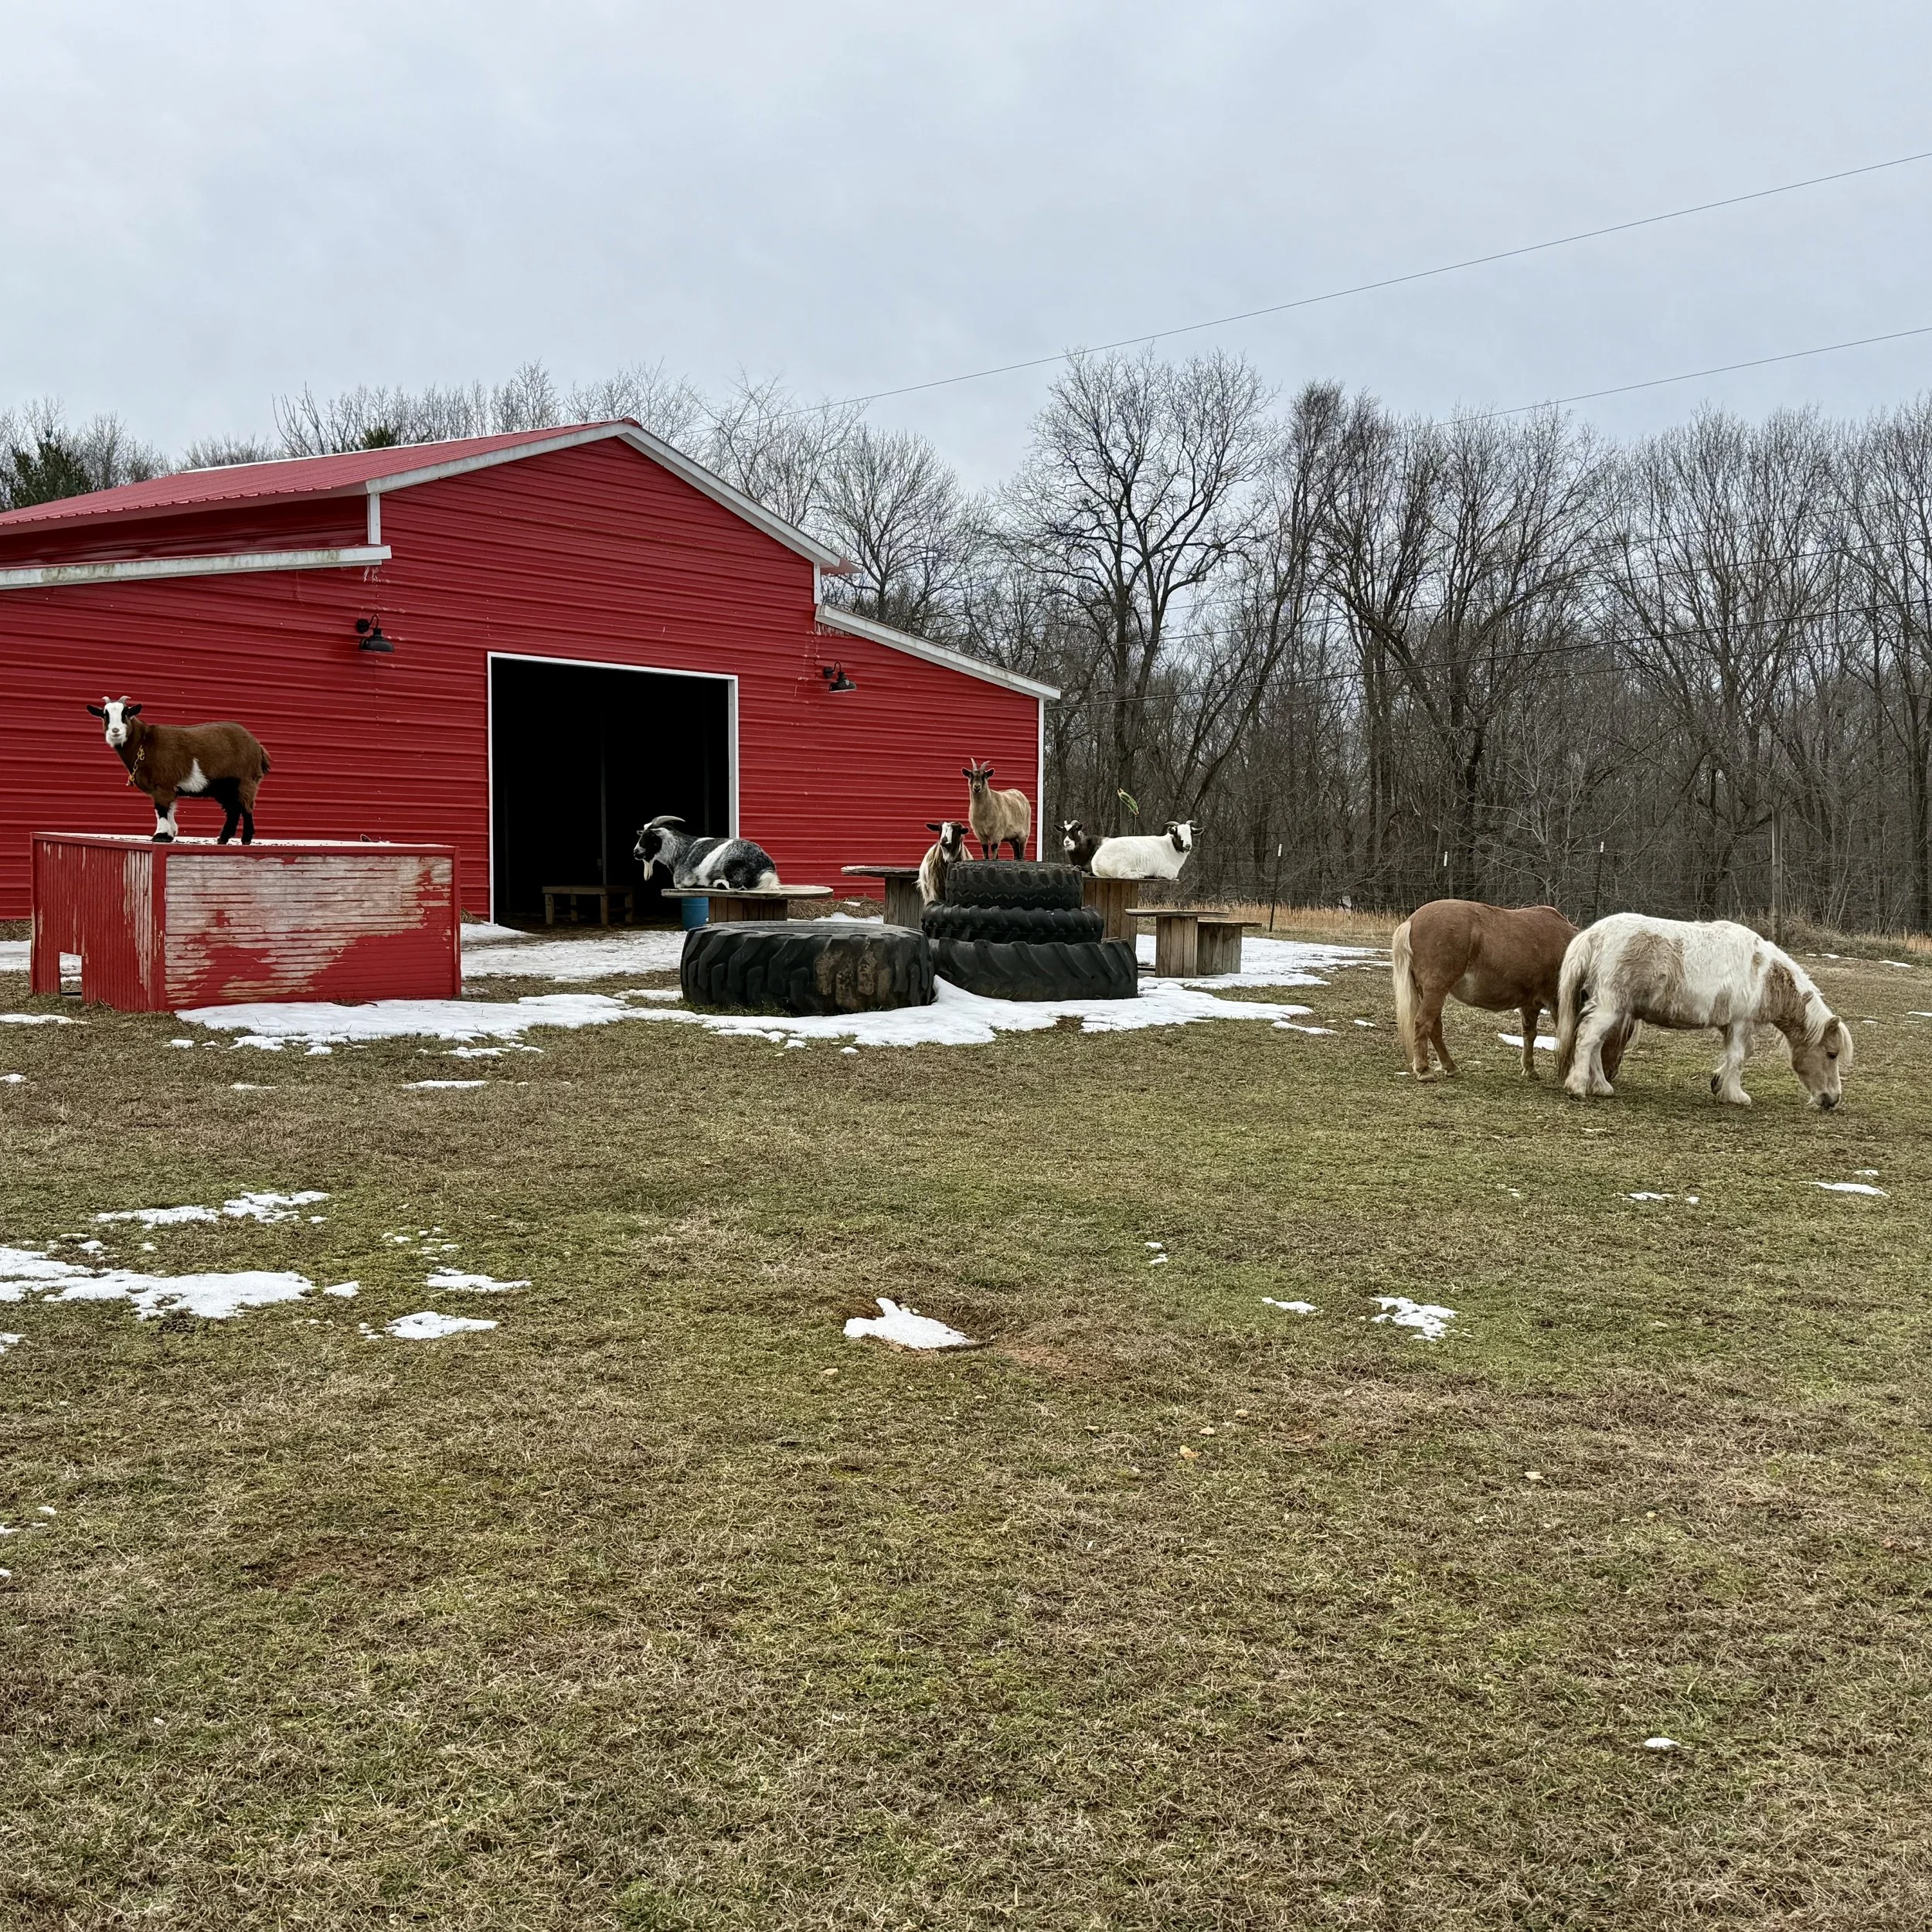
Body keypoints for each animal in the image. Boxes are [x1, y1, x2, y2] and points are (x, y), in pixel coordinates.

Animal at [88, 697, 269, 844]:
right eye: (105, 715)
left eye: (126, 713)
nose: (115, 731)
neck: (144, 742)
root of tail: (257, 747)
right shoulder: (166, 787)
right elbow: (167, 809)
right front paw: (170, 833)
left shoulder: (163, 783)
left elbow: (161, 808)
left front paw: (161, 836)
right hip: (224, 787)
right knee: (233, 809)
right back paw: (223, 839)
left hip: (245, 779)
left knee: (246, 807)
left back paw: (246, 839)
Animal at [633, 815, 781, 893]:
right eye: (642, 834)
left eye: (650, 835)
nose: (635, 852)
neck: (680, 851)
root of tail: (766, 869)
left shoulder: (682, 881)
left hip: (730, 865)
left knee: (738, 886)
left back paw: (716, 884)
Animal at [1089, 821, 1197, 881]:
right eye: (1178, 834)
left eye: (1191, 833)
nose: (1188, 846)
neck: (1170, 847)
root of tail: (1096, 864)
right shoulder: (1167, 871)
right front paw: (1156, 876)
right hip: (1124, 862)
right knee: (1121, 874)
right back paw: (1142, 874)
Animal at [1391, 898, 1598, 1081]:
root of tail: (1412, 921)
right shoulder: (1556, 1002)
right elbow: (1568, 1035)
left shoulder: (1531, 1004)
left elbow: (1530, 1034)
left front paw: (1529, 1068)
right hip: (1435, 990)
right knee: (1423, 1023)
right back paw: (1423, 1070)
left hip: (1428, 992)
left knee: (1434, 1028)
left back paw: (1450, 1067)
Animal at [1555, 913, 1853, 1109]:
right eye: (1831, 1054)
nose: (1832, 1099)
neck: (1764, 972)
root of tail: (1593, 934)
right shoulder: (1741, 1022)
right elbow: (1739, 1056)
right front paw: (1735, 1095)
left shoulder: (1733, 1025)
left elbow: (1737, 1055)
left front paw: (1719, 1083)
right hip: (1609, 1006)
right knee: (1588, 1039)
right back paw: (1578, 1086)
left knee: (1596, 1044)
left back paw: (1601, 1087)